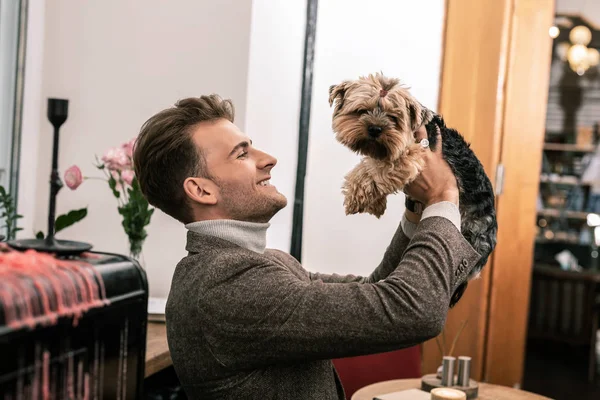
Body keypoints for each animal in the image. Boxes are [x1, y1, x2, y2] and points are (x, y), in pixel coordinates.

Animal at [328, 73, 496, 306]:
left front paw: (357, 197)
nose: (375, 129)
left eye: (393, 118)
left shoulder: (411, 156)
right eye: (361, 111)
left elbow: (374, 168)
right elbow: (370, 165)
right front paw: (373, 201)